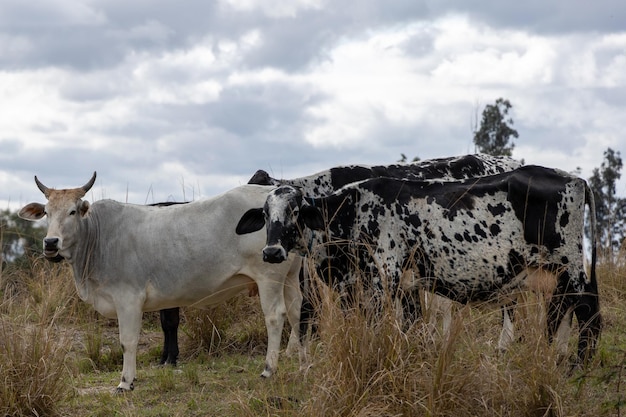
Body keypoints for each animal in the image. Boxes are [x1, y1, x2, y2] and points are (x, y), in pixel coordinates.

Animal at [17, 171, 302, 390]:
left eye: (73, 211)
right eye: (46, 213)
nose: (50, 242)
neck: (98, 238)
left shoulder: (128, 299)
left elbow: (128, 341)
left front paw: (125, 382)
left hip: (269, 276)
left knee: (276, 316)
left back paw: (269, 368)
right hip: (290, 276)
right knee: (296, 309)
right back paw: (296, 354)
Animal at [235, 164, 600, 362]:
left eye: (295, 211)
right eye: (265, 214)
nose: (271, 252)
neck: (353, 210)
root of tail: (575, 179)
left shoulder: (386, 276)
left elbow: (379, 325)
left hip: (570, 267)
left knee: (587, 311)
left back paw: (579, 363)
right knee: (566, 312)